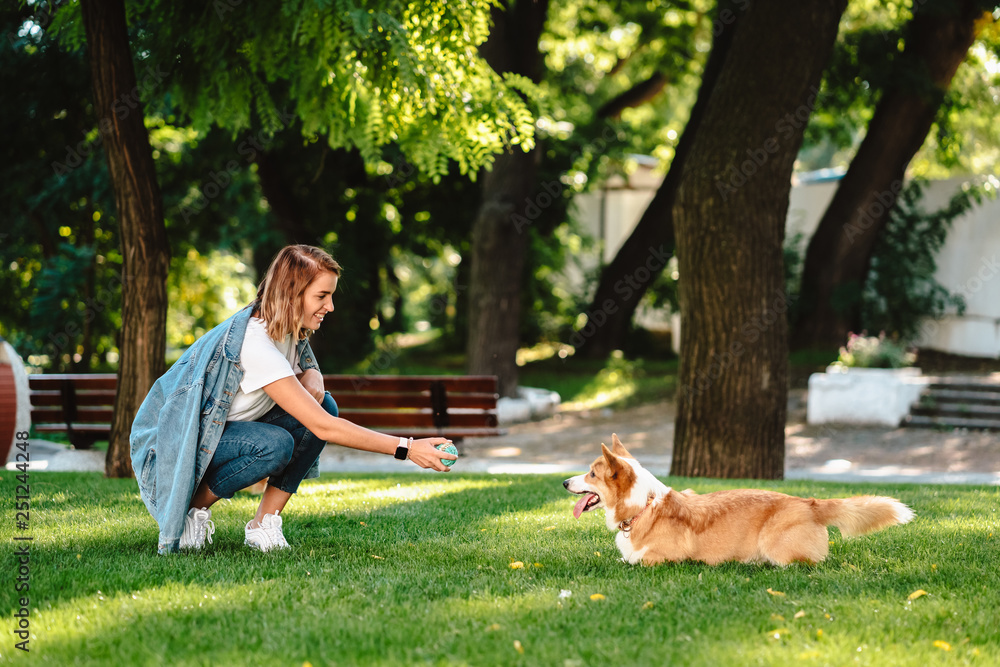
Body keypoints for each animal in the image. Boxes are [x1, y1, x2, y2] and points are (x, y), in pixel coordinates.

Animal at [564, 434, 916, 568]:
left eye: (592, 474)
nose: (564, 482)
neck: (644, 505)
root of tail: (810, 503)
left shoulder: (661, 559)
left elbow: (634, 561)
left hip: (778, 547)